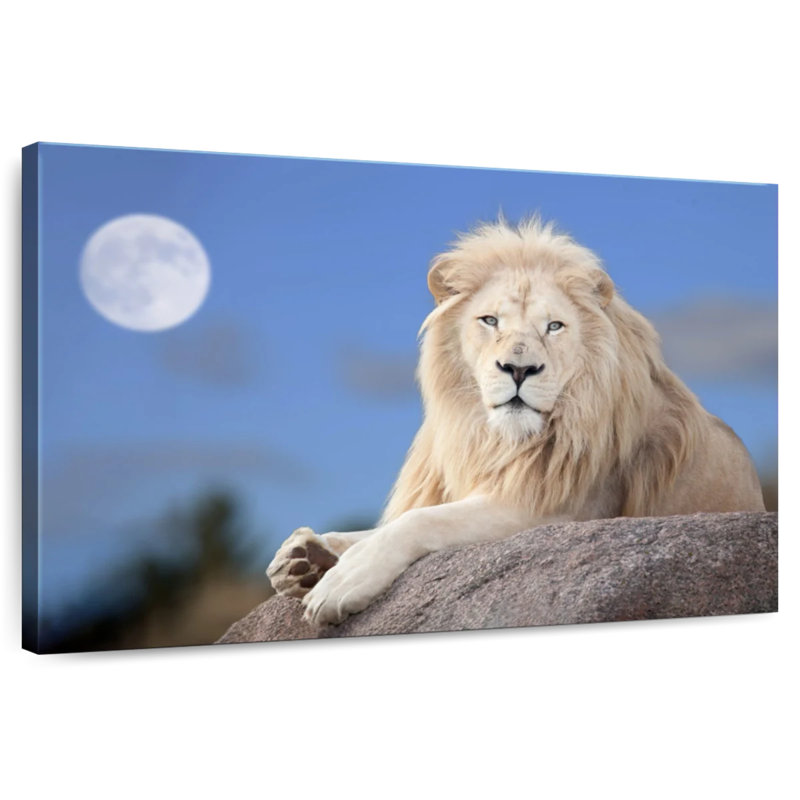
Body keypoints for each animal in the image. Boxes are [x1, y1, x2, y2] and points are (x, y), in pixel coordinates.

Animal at [267, 217, 766, 625]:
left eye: (554, 327)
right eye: (490, 320)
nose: (520, 369)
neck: (497, 437)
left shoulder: (561, 508)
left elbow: (422, 521)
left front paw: (340, 582)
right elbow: (387, 525)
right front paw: (304, 556)